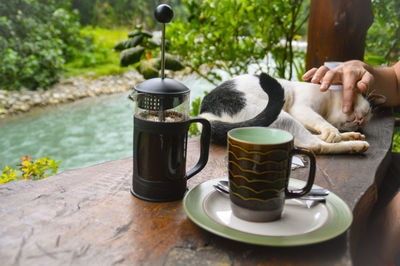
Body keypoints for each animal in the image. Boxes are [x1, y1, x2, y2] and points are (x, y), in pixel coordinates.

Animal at [200, 72, 384, 155]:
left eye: (365, 119)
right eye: (366, 111)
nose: (360, 121)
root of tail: (206, 115)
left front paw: (344, 133)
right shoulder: (302, 108)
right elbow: (321, 122)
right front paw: (332, 131)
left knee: (306, 141)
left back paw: (352, 138)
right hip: (280, 115)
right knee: (317, 146)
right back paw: (356, 145)